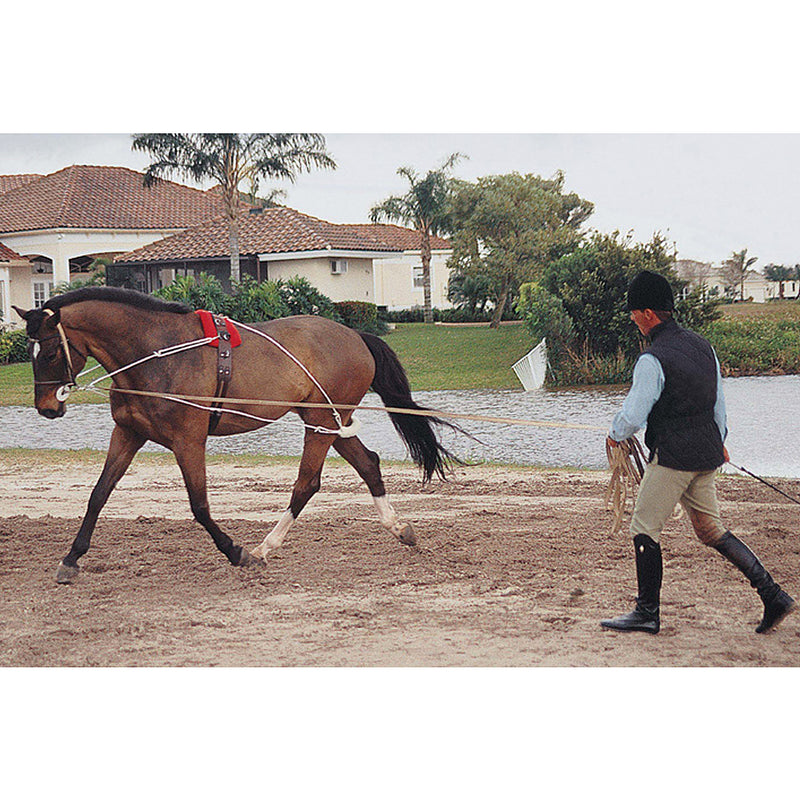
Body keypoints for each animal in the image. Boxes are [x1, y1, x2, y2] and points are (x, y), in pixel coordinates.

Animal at [14, 286, 460, 584]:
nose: (47, 407)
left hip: (319, 423)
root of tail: (355, 336)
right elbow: (98, 495)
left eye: (49, 352)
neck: (155, 354)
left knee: (307, 483)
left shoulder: (188, 442)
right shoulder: (127, 435)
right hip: (329, 422)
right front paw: (71, 559)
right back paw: (399, 529)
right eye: (30, 353)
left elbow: (199, 507)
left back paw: (264, 547)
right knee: (369, 465)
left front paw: (236, 552)